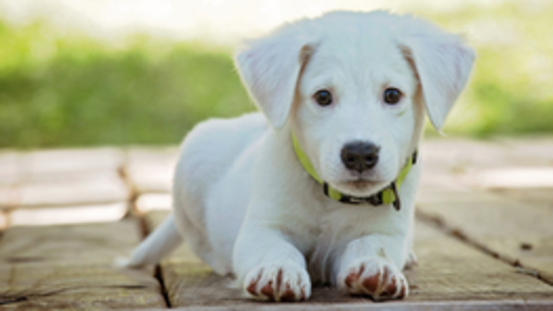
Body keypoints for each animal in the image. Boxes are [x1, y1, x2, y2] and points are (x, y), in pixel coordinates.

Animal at [126, 11, 474, 304]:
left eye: (392, 95)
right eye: (323, 96)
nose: (360, 154)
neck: (330, 199)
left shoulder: (386, 231)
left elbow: (372, 245)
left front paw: (375, 267)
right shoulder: (262, 227)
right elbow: (275, 247)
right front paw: (278, 271)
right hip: (193, 161)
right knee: (203, 244)